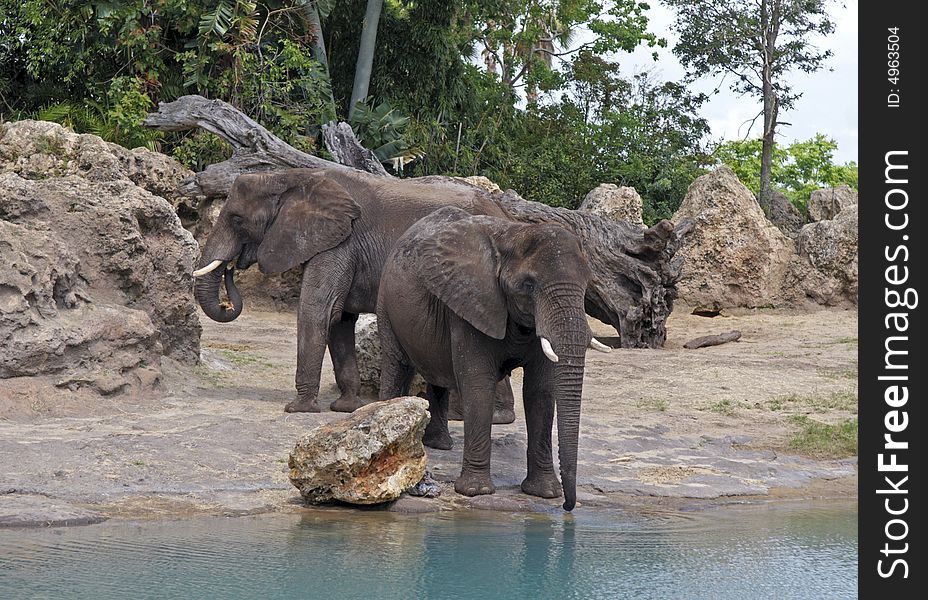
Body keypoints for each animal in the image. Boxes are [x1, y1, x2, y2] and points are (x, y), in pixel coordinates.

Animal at [193, 166, 520, 414]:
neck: (289, 177)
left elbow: (318, 309)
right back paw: (495, 416)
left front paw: (299, 409)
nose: (232, 268)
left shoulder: (341, 243)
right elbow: (339, 320)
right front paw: (347, 408)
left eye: (237, 219)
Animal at [376, 207, 608, 510]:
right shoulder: (470, 302)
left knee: (436, 377)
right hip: (386, 300)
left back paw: (440, 445)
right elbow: (478, 385)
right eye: (529, 285)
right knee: (396, 366)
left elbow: (540, 391)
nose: (568, 507)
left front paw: (545, 493)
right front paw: (476, 492)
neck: (514, 233)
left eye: (587, 283)